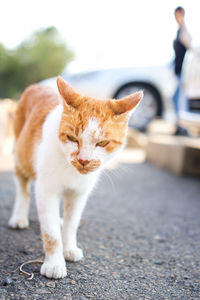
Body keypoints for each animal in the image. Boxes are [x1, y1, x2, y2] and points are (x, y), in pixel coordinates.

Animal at [7, 77, 142, 278]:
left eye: (103, 142)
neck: (70, 171)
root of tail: (36, 86)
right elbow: (51, 233)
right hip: (21, 157)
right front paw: (54, 263)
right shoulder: (46, 191)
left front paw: (69, 247)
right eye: (72, 138)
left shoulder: (79, 194)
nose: (84, 160)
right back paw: (19, 217)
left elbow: (72, 223)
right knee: (22, 188)